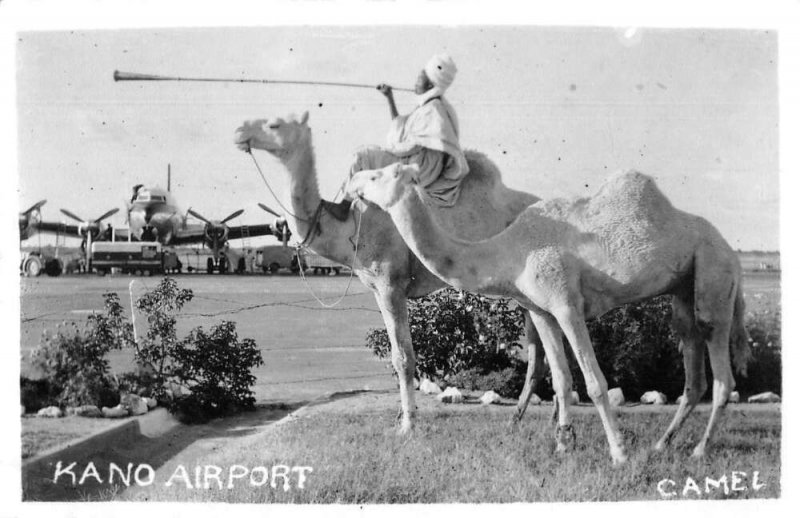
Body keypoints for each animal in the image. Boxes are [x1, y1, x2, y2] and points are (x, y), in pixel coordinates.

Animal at [233, 112, 544, 434]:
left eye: (274, 124)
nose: (239, 132)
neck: (350, 222)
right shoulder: (376, 287)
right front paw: (400, 416)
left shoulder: (390, 283)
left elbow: (403, 357)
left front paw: (407, 425)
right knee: (540, 348)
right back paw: (518, 417)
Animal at [350, 164, 752, 468]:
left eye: (377, 175)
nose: (353, 182)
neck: (511, 252)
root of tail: (733, 252)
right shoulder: (541, 310)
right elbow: (560, 378)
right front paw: (563, 445)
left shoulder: (566, 303)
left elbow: (595, 382)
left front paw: (619, 454)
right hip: (684, 288)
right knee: (693, 368)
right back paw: (662, 444)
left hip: (714, 274)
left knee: (721, 367)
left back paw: (699, 449)